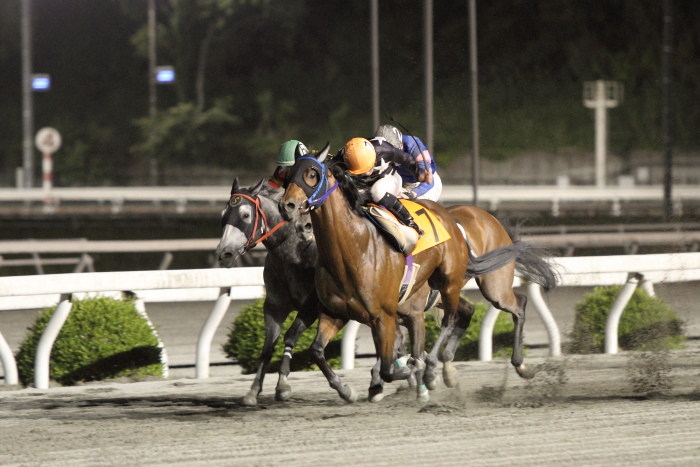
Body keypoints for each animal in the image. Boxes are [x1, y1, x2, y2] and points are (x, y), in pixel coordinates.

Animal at [216, 177, 432, 404]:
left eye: (245, 215)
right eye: (223, 216)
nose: (224, 254)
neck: (293, 253)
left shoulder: (313, 305)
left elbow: (291, 336)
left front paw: (283, 385)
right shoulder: (274, 307)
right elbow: (268, 347)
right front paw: (253, 391)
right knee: (396, 337)